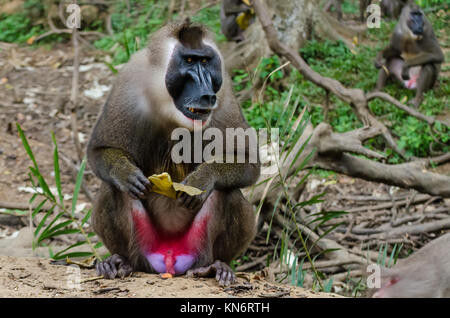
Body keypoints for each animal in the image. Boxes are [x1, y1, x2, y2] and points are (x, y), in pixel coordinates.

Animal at [87, 21, 260, 286]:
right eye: (188, 61)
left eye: (205, 62)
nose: (206, 92)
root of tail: (169, 257)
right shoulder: (128, 82)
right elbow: (98, 151)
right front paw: (125, 173)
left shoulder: (226, 95)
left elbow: (248, 162)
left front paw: (202, 180)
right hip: (144, 246)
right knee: (112, 188)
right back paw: (120, 263)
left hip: (197, 247)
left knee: (227, 192)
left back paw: (217, 267)